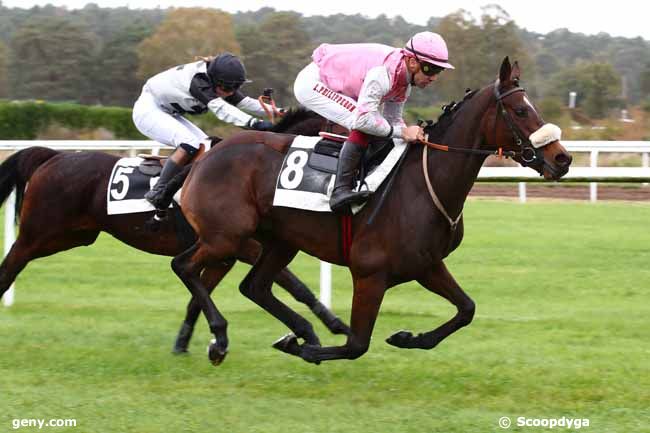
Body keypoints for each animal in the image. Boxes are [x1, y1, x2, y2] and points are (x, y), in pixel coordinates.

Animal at [0, 107, 350, 352]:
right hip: (38, 235)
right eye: (342, 130)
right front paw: (334, 325)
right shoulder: (245, 247)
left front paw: (185, 342)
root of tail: (52, 157)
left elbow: (198, 296)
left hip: (73, 236)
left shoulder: (225, 254)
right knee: (9, 267)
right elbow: (295, 286)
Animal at [170, 55, 568, 362]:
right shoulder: (369, 273)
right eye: (521, 110)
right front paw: (306, 349)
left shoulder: (426, 265)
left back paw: (302, 330)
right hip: (226, 237)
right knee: (184, 266)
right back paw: (221, 338)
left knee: (254, 286)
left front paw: (409, 338)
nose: (562, 158)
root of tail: (207, 153)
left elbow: (467, 309)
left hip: (279, 241)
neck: (424, 184)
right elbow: (357, 344)